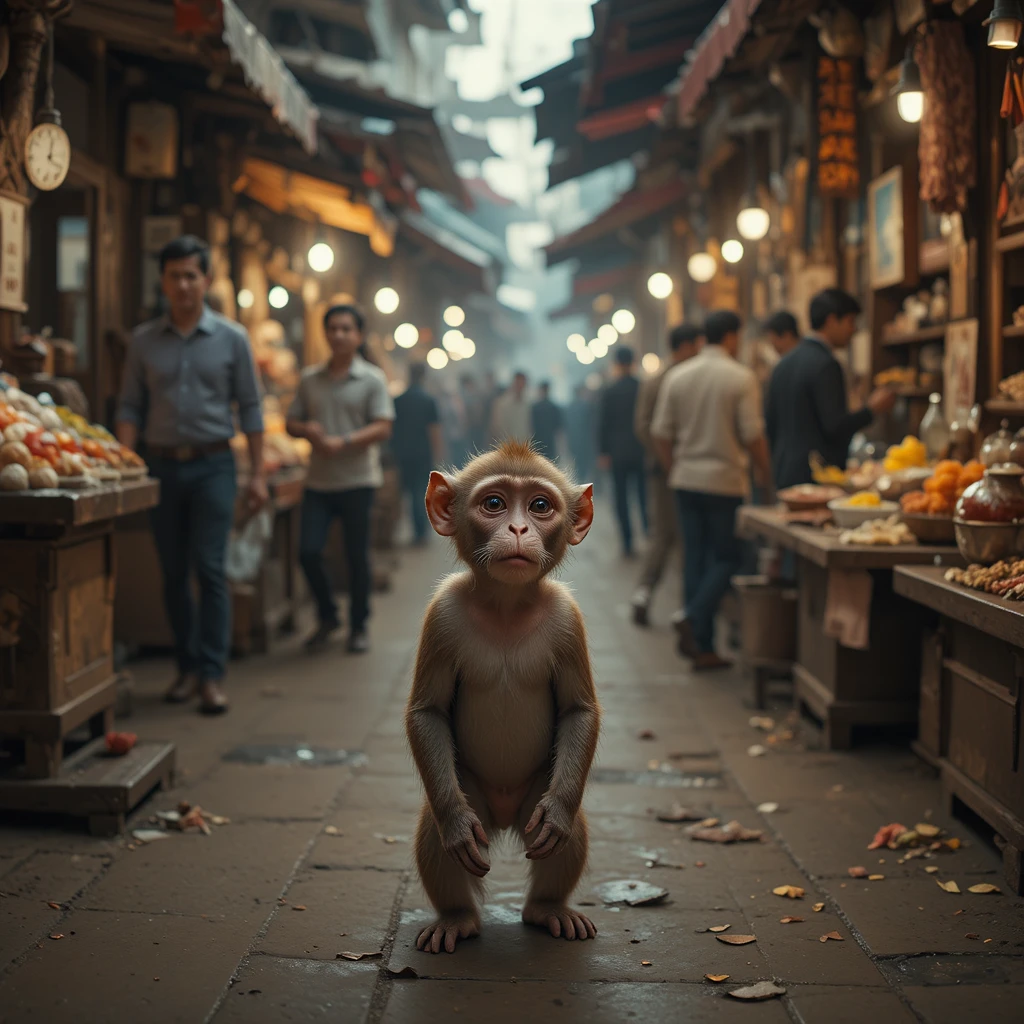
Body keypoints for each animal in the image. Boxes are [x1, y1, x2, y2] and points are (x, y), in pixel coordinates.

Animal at [405, 440, 600, 954]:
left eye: (540, 506)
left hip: (536, 791)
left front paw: (558, 816)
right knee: (436, 832)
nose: (517, 528)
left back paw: (547, 909)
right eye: (494, 503)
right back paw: (456, 918)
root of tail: (507, 815)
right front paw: (455, 827)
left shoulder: (569, 617)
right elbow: (428, 713)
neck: (507, 606)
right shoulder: (441, 614)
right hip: (471, 789)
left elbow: (578, 711)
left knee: (564, 832)